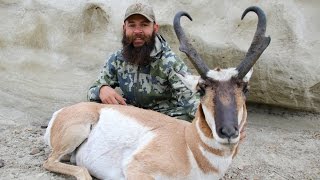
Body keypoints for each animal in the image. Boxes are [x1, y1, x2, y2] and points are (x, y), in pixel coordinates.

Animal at [43, 5, 272, 180]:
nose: (229, 132)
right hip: (76, 134)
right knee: (56, 163)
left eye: (245, 87)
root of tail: (63, 112)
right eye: (201, 89)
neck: (188, 144)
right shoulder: (136, 171)